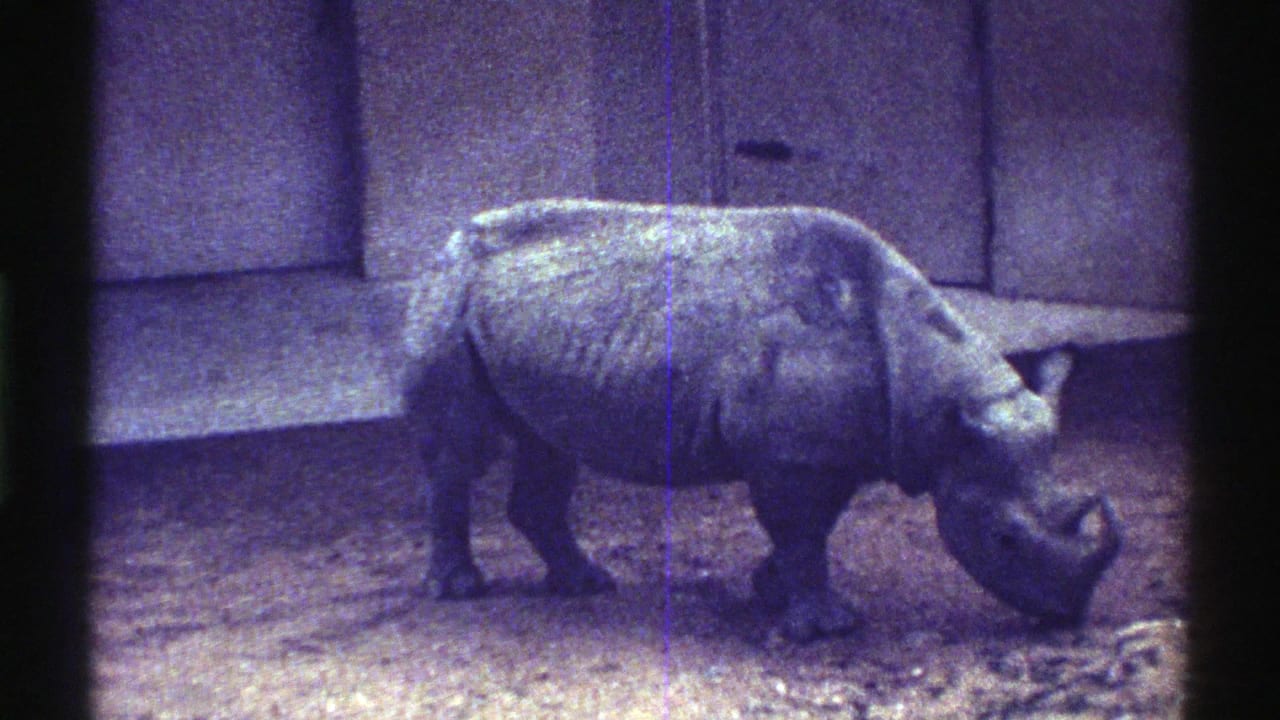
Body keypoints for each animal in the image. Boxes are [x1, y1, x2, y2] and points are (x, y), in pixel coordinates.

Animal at [401, 199, 1121, 641]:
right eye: (1003, 539)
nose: (1066, 617)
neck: (941, 404)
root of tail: (449, 235)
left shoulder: (835, 447)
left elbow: (814, 526)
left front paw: (769, 592)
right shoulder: (791, 453)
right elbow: (800, 529)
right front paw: (825, 630)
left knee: (547, 443)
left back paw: (585, 585)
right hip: (449, 290)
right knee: (462, 449)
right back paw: (461, 592)